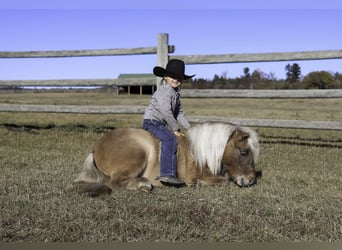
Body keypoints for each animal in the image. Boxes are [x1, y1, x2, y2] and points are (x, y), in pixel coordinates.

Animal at [71, 122, 260, 194]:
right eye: (244, 152)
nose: (251, 180)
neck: (199, 152)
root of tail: (96, 147)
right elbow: (223, 180)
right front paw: (200, 183)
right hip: (137, 155)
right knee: (115, 183)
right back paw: (143, 184)